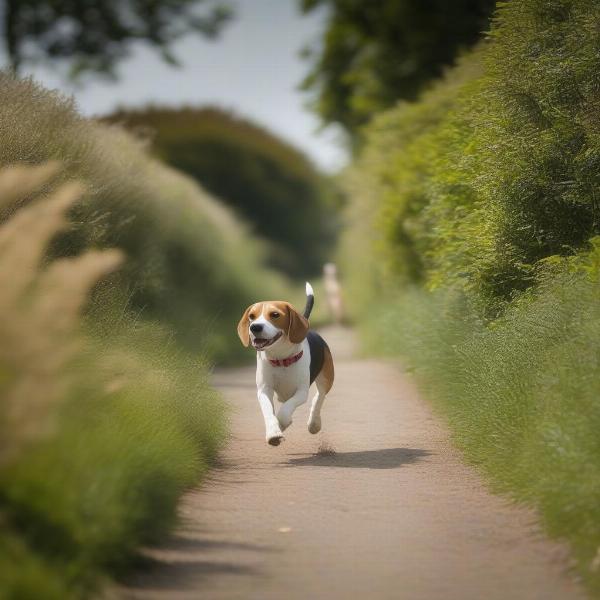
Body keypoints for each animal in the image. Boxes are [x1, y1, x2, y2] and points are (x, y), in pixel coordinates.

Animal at [237, 284, 336, 446]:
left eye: (275, 314)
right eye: (252, 316)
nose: (255, 327)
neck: (281, 360)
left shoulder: (301, 392)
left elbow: (284, 411)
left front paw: (282, 424)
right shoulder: (264, 390)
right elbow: (269, 412)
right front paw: (273, 432)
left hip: (327, 378)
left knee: (319, 397)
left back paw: (314, 423)